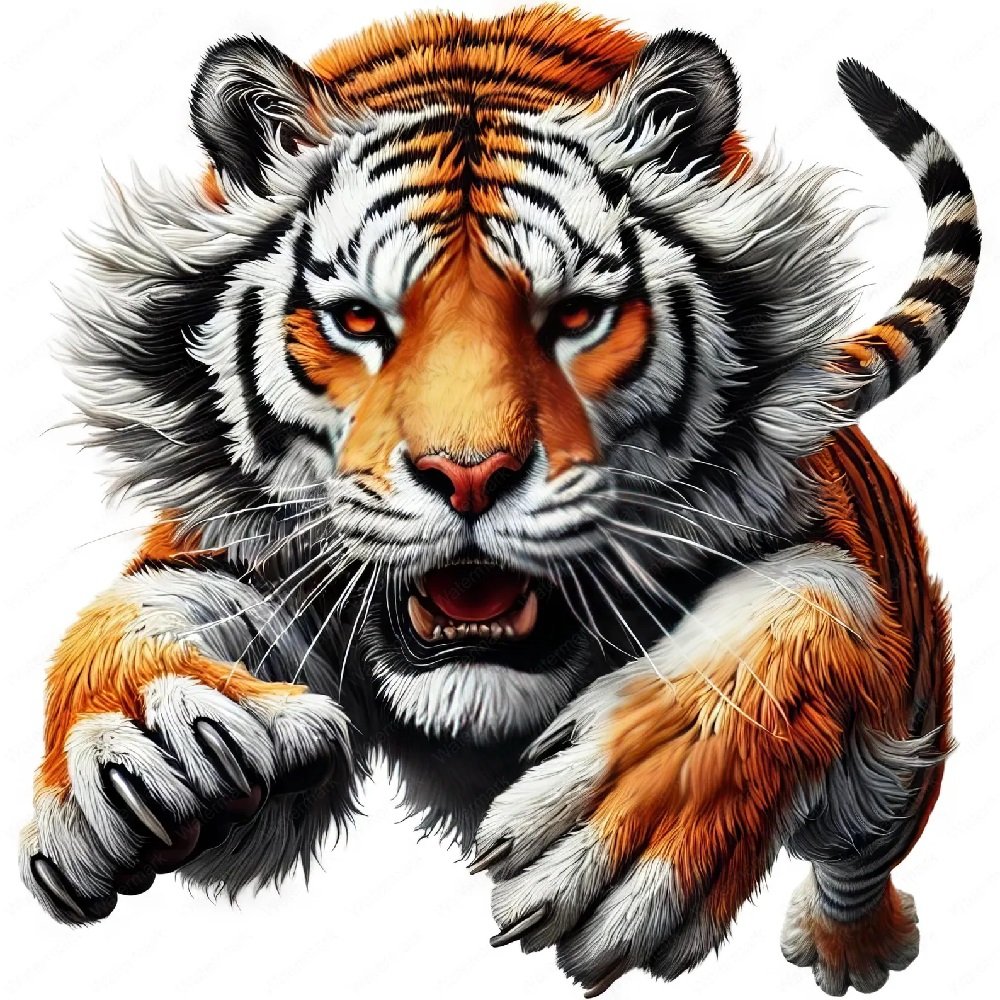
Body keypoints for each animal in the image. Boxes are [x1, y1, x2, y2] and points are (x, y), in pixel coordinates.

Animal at [18, 5, 979, 996]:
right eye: (359, 320)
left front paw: (630, 818)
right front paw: (147, 739)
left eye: (575, 317)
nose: (470, 474)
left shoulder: (814, 536)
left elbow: (801, 608)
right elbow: (143, 609)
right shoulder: (225, 540)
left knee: (868, 842)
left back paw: (853, 948)